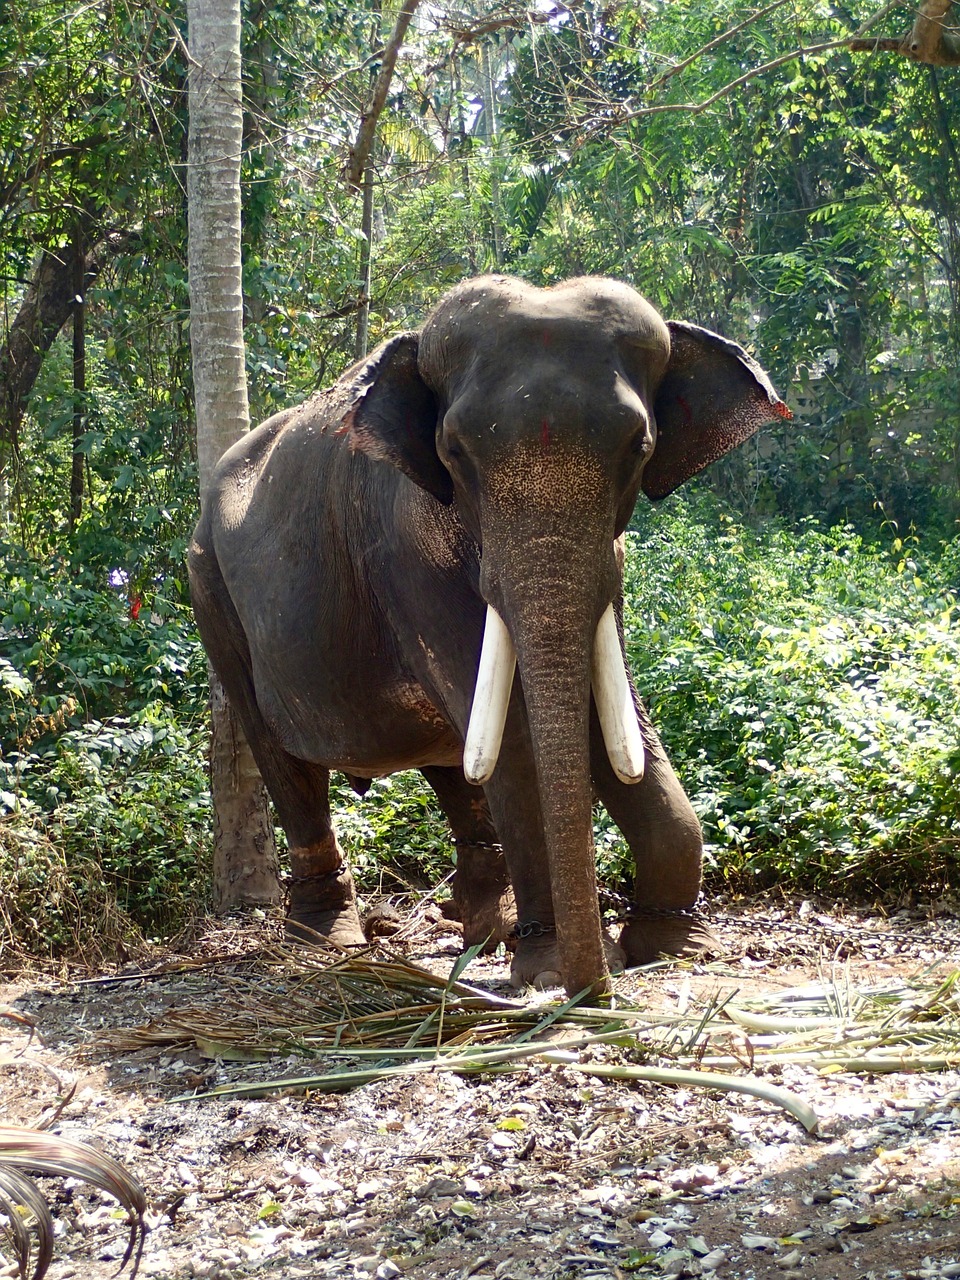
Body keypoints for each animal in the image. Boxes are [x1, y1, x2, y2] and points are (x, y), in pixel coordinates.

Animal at [189, 272, 788, 998]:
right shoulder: (402, 554)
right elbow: (520, 734)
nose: (595, 985)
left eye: (640, 449)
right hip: (211, 592)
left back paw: (485, 928)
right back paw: (327, 939)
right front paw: (551, 965)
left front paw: (677, 948)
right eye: (454, 452)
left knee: (452, 760)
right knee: (284, 760)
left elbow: (613, 713)